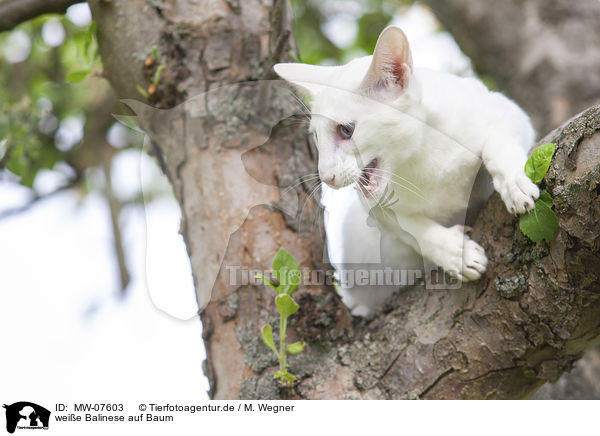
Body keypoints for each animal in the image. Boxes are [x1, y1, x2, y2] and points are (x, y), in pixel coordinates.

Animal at [274, 25, 540, 316]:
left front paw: (514, 185)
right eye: (315, 136)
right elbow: (415, 230)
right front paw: (456, 254)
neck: (420, 157)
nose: (326, 177)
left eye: (346, 130)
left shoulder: (508, 112)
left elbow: (498, 146)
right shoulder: (378, 209)